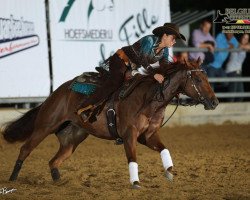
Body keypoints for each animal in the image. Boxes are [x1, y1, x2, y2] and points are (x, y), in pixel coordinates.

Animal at [0, 57, 218, 188]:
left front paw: (170, 173)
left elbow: (165, 149)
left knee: (53, 161)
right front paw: (135, 183)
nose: (214, 102)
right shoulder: (129, 136)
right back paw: (13, 180)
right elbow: (132, 159)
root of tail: (55, 93)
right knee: (25, 149)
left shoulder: (147, 136)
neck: (148, 98)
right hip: (44, 126)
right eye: (198, 79)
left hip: (72, 139)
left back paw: (59, 182)